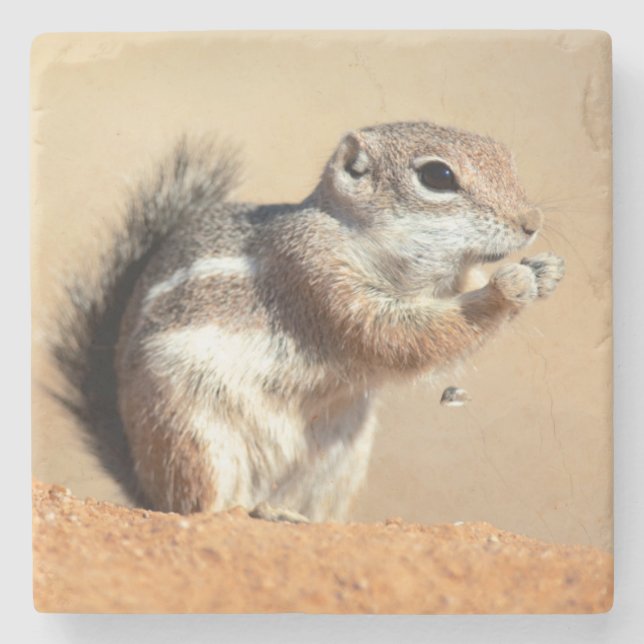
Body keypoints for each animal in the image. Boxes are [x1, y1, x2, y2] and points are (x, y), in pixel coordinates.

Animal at [53, 121, 565, 523]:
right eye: (437, 176)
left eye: (506, 157)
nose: (531, 223)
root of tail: (145, 483)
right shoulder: (313, 273)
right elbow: (398, 335)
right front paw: (507, 288)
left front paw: (546, 272)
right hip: (190, 433)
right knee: (199, 506)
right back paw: (249, 510)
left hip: (339, 460)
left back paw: (291, 515)